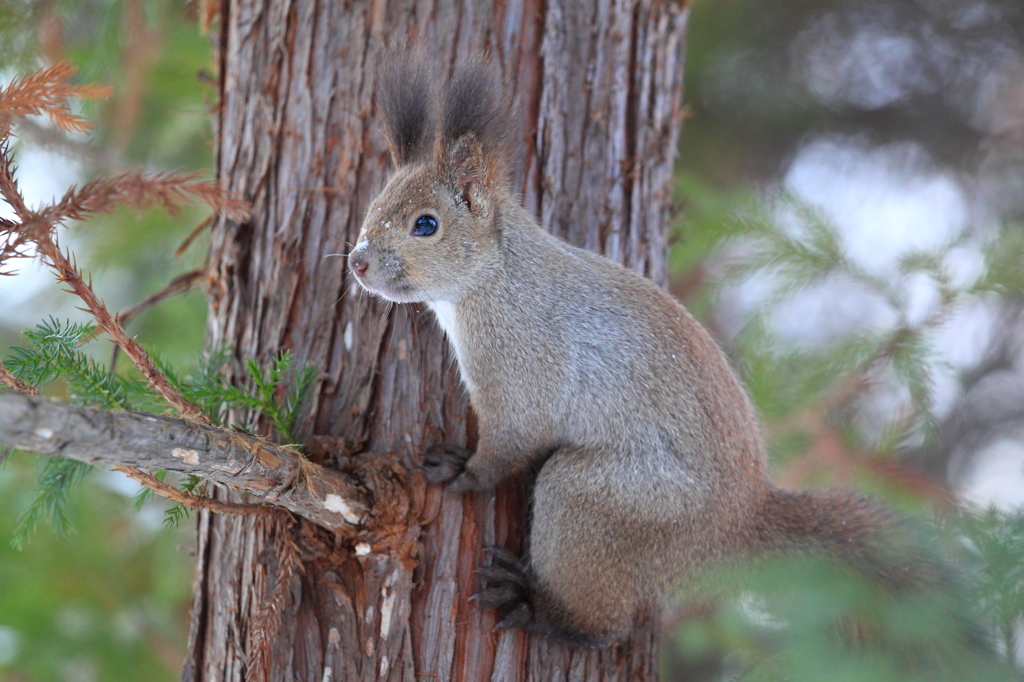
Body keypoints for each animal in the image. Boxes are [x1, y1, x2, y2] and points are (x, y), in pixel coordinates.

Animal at [350, 59, 958, 647]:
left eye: (426, 225)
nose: (356, 262)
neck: (497, 279)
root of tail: (736, 526)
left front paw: (464, 471)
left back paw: (537, 607)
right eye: (372, 207)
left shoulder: (523, 370)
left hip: (604, 506)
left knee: (605, 624)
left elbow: (510, 441)